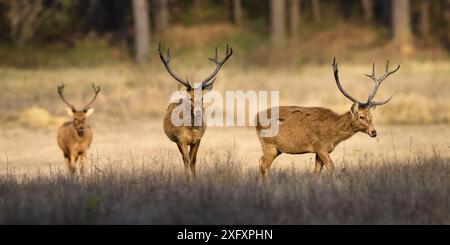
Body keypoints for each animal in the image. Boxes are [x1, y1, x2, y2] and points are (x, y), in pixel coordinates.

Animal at [159, 43, 236, 177]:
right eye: (190, 98)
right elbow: (186, 159)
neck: (191, 129)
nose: (198, 112)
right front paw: (187, 179)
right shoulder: (180, 139)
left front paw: (194, 178)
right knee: (184, 158)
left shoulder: (198, 139)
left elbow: (193, 160)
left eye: (203, 97)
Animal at [255, 58, 400, 176]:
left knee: (261, 161)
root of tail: (255, 119)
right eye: (361, 117)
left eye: (371, 116)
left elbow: (317, 172)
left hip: (276, 149)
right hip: (269, 144)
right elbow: (332, 168)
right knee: (264, 165)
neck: (333, 134)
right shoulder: (320, 146)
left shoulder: (320, 151)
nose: (374, 132)